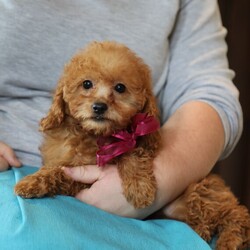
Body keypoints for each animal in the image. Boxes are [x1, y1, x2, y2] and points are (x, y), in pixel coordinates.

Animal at [14, 40, 249, 248]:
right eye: (87, 84)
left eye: (120, 88)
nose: (99, 107)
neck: (94, 135)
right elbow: (58, 171)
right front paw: (32, 182)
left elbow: (131, 153)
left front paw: (140, 189)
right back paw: (206, 232)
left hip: (200, 191)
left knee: (236, 215)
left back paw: (229, 240)